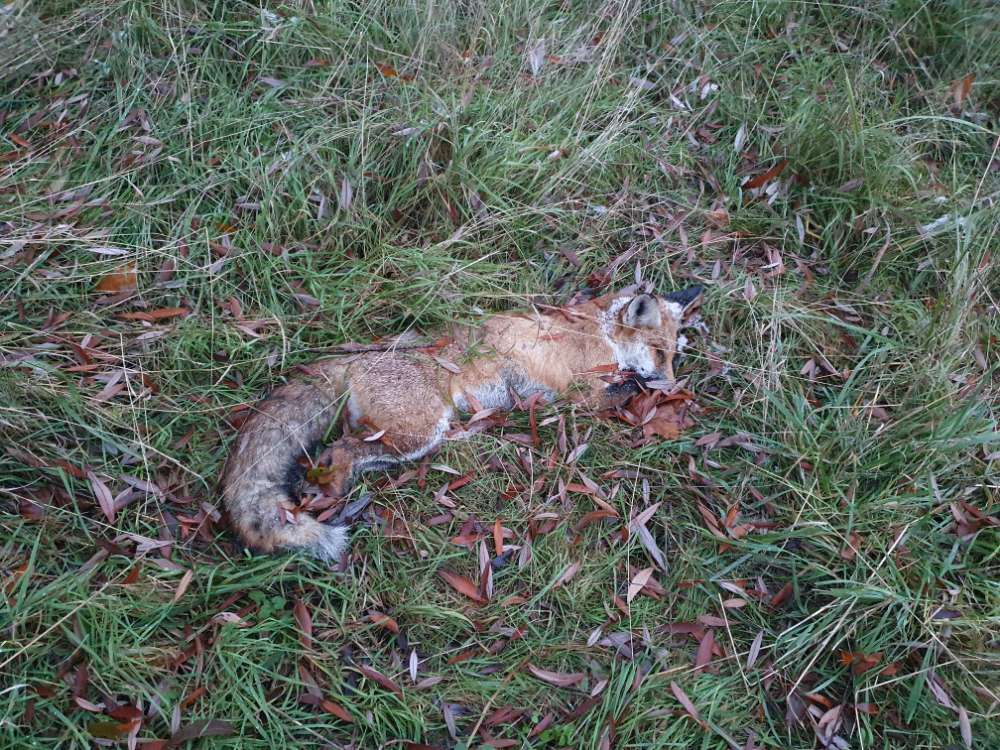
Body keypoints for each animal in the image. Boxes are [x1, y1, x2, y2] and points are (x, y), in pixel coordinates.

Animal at [221, 284, 703, 562]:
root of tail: (357, 358)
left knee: (349, 455)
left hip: (412, 440)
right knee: (338, 450)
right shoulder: (581, 392)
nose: (673, 387)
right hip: (420, 430)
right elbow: (628, 387)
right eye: (659, 352)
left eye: (673, 355)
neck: (598, 329)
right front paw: (645, 389)